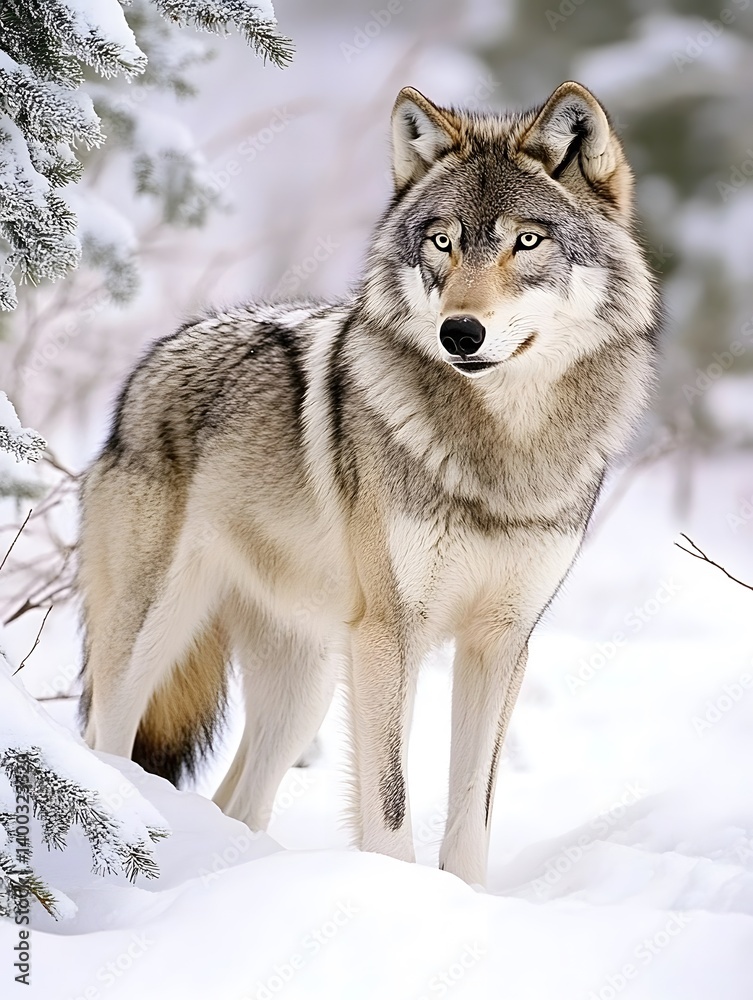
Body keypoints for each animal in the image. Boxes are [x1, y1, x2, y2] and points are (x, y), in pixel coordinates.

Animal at [79, 81, 659, 886]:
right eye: (441, 242)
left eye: (527, 241)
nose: (460, 334)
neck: (502, 452)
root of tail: (149, 367)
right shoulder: (391, 636)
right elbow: (389, 809)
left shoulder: (502, 642)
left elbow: (471, 817)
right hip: (152, 645)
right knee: (105, 749)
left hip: (308, 686)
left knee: (237, 800)